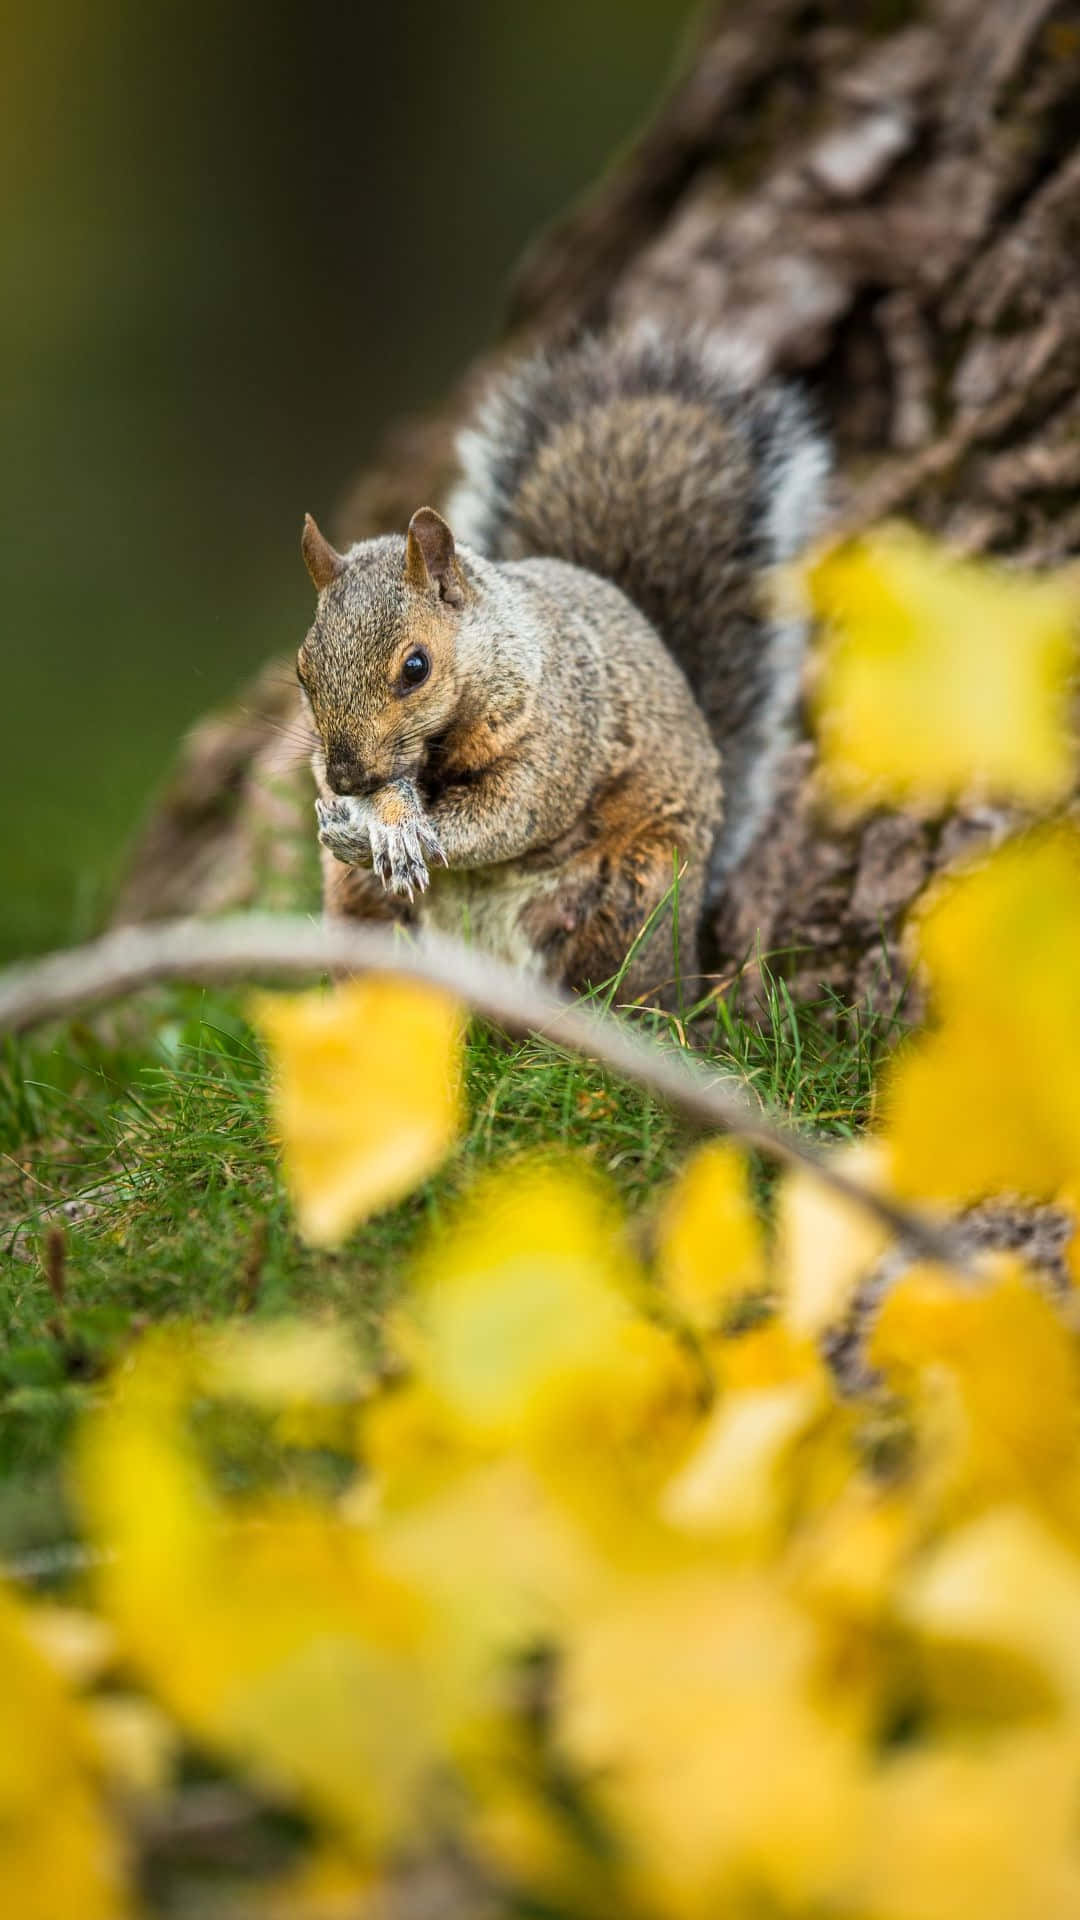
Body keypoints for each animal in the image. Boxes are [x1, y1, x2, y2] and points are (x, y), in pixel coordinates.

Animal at [298, 326, 827, 1002]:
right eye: (303, 672)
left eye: (416, 668)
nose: (346, 779)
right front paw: (369, 819)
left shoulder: (558, 736)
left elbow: (509, 813)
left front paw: (397, 830)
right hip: (363, 915)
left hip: (637, 894)